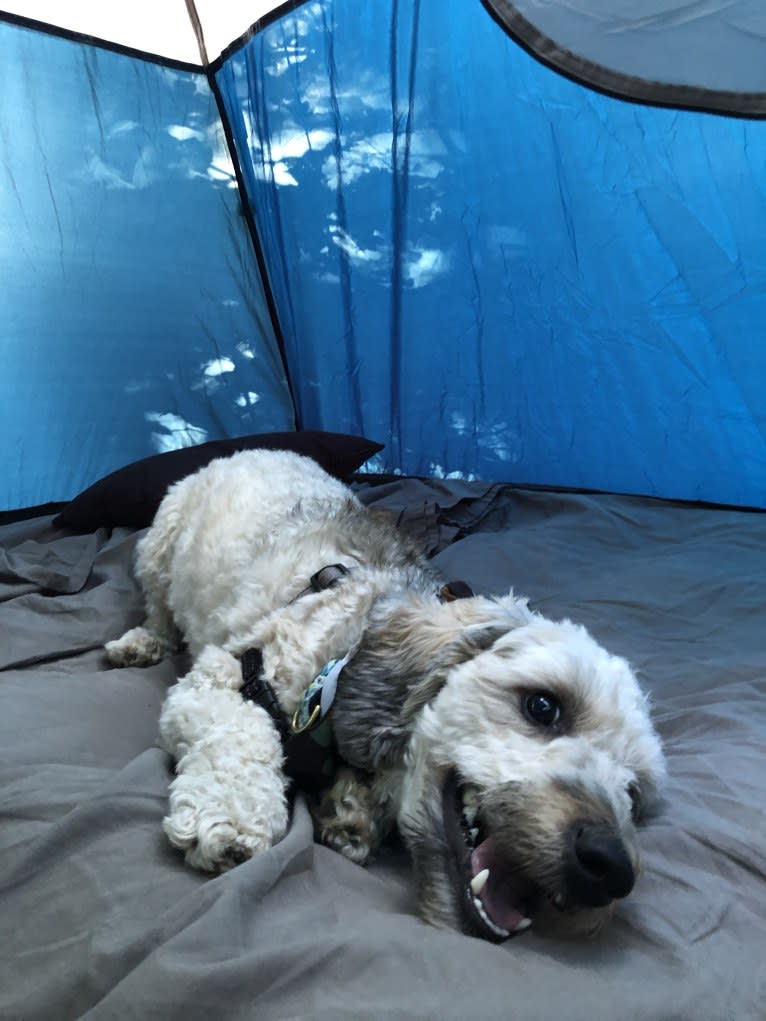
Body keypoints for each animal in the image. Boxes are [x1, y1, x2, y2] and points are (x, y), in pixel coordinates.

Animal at [106, 451, 665, 943]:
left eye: (634, 793)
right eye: (544, 706)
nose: (611, 867)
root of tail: (252, 449)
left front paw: (350, 812)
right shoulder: (228, 676)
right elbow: (240, 738)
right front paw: (232, 821)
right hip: (159, 546)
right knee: (158, 610)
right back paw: (142, 641)